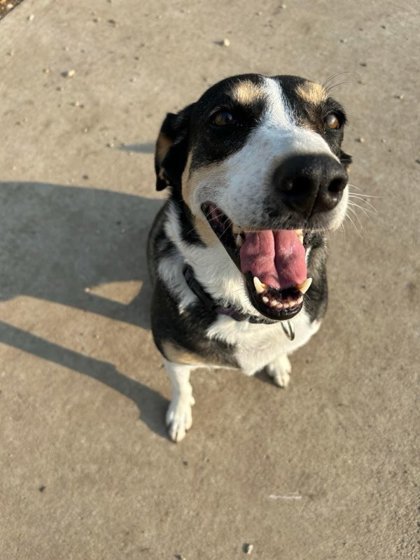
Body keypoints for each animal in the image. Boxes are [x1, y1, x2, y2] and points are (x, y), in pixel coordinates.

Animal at [148, 73, 352, 442]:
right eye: (223, 118)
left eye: (333, 120)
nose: (316, 180)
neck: (245, 315)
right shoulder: (173, 354)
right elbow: (181, 385)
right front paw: (180, 413)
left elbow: (283, 348)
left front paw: (279, 362)